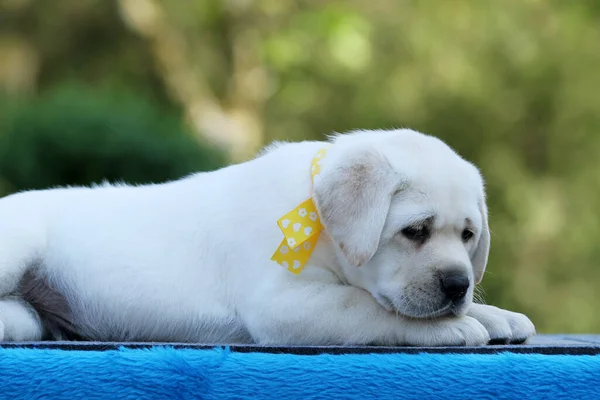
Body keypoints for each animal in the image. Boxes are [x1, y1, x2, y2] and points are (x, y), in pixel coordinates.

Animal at [0, 130, 536, 346]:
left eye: (468, 235)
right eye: (415, 231)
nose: (458, 285)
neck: (313, 217)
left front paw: (494, 314)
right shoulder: (283, 304)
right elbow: (365, 307)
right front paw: (452, 327)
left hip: (31, 312)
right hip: (18, 242)